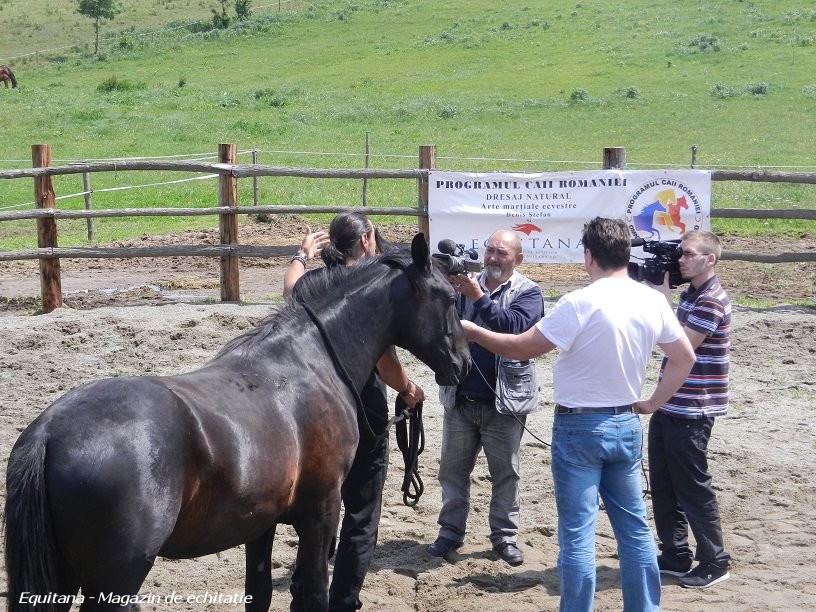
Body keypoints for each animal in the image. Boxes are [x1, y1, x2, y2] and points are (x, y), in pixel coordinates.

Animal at [4, 234, 472, 612]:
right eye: (450, 299)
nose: (464, 365)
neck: (309, 360)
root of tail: (49, 432)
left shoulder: (259, 524)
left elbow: (259, 593)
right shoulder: (322, 512)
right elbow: (313, 593)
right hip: (116, 581)